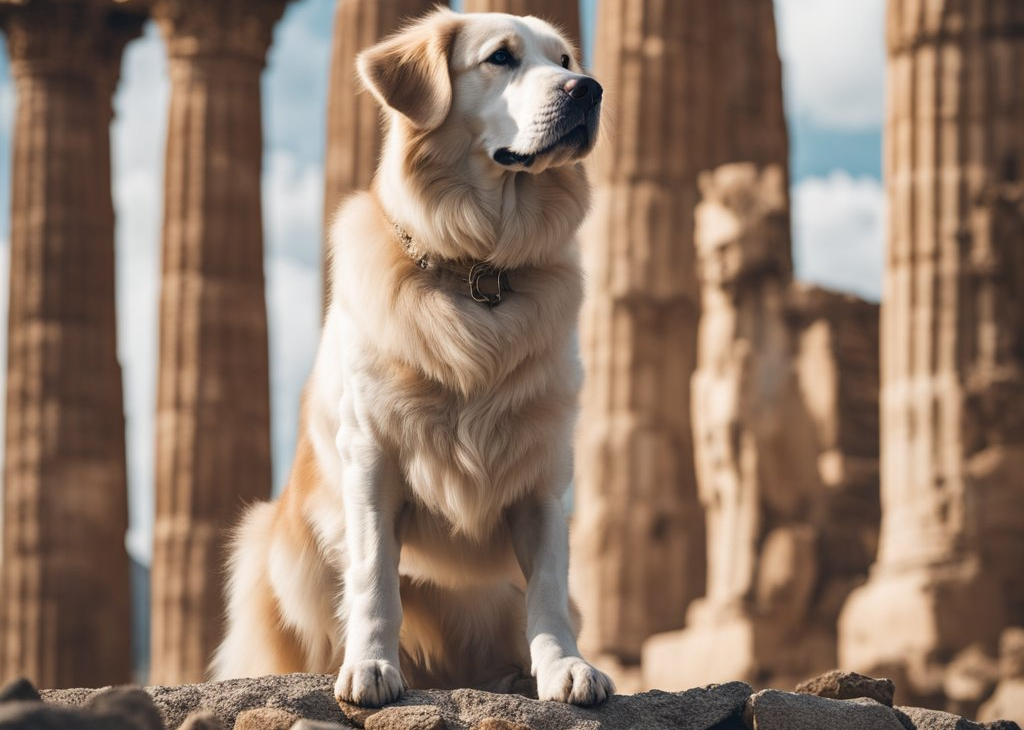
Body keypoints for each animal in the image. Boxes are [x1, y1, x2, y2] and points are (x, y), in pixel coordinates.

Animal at [207, 8, 606, 708]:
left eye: (564, 60)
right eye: (500, 57)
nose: (588, 90)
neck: (480, 275)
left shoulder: (543, 476)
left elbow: (549, 592)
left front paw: (564, 667)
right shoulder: (372, 458)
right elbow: (375, 581)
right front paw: (370, 665)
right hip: (269, 550)